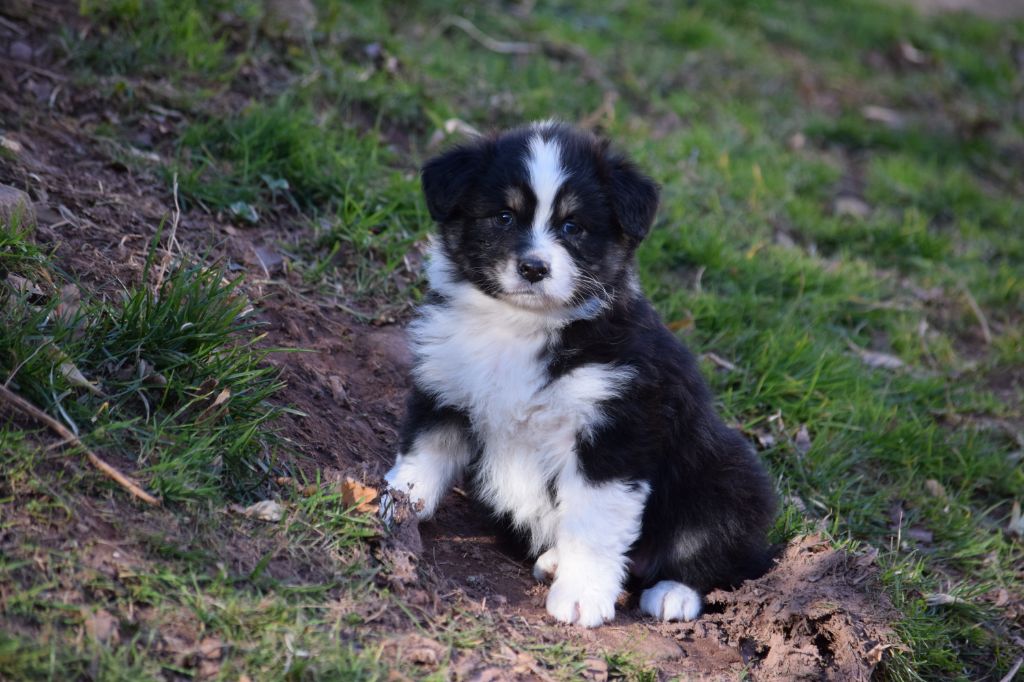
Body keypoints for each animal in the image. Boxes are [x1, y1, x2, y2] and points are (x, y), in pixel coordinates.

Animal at [385, 119, 774, 622]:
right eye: (504, 217)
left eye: (573, 226)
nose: (534, 268)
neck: (521, 326)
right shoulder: (446, 384)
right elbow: (423, 454)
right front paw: (395, 503)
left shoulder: (614, 431)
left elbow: (594, 522)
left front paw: (581, 598)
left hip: (727, 476)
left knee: (715, 550)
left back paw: (674, 593)